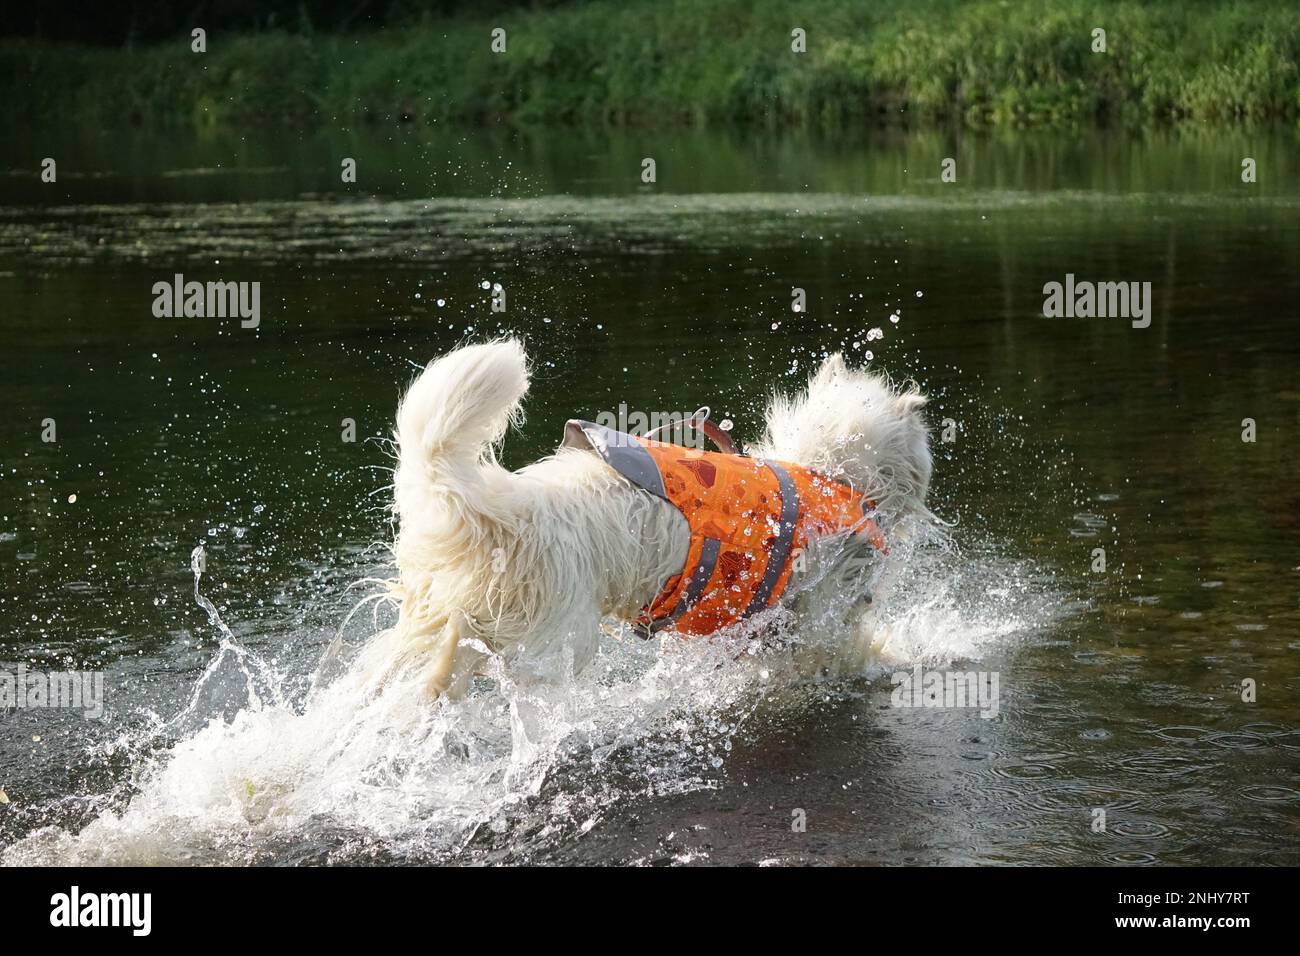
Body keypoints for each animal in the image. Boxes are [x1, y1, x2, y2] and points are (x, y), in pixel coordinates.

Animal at [356, 340, 935, 697]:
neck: (829, 472)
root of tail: (510, 509)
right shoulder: (819, 609)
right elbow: (843, 647)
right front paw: (890, 655)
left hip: (434, 629)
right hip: (556, 647)